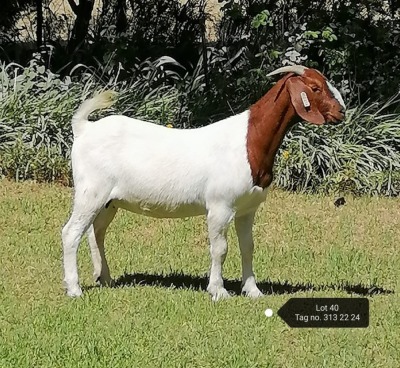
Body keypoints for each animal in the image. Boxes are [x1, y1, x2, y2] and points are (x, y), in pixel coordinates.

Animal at [61, 64, 346, 300]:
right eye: (315, 88)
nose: (341, 112)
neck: (249, 141)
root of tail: (84, 128)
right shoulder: (220, 206)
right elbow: (220, 248)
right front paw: (218, 291)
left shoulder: (247, 208)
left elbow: (248, 247)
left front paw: (253, 291)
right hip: (91, 191)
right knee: (71, 232)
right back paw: (74, 289)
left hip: (110, 200)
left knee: (95, 232)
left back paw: (105, 278)